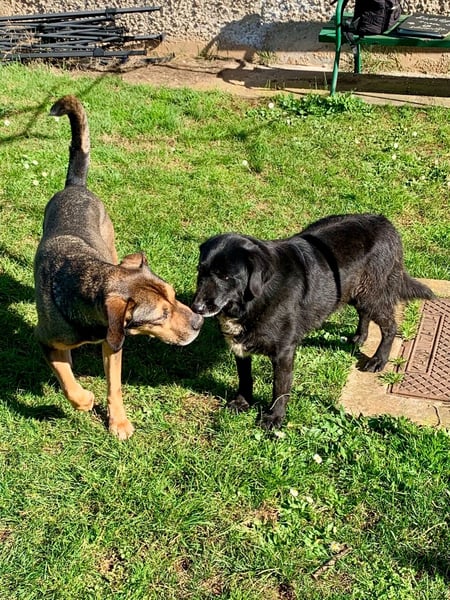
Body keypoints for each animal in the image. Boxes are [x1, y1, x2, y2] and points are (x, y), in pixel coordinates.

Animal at [34, 95, 203, 439]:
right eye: (160, 316)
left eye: (175, 295)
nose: (199, 323)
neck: (87, 276)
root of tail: (76, 185)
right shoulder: (44, 338)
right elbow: (65, 377)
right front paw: (84, 399)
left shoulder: (114, 343)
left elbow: (114, 385)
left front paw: (119, 422)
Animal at [192, 214, 433, 429]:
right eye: (200, 271)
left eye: (225, 276)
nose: (196, 307)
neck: (257, 298)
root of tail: (385, 222)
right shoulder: (240, 347)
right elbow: (245, 378)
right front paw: (243, 403)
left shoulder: (284, 352)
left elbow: (280, 389)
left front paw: (274, 418)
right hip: (353, 293)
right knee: (365, 315)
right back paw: (359, 337)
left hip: (371, 296)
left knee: (390, 326)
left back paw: (378, 360)